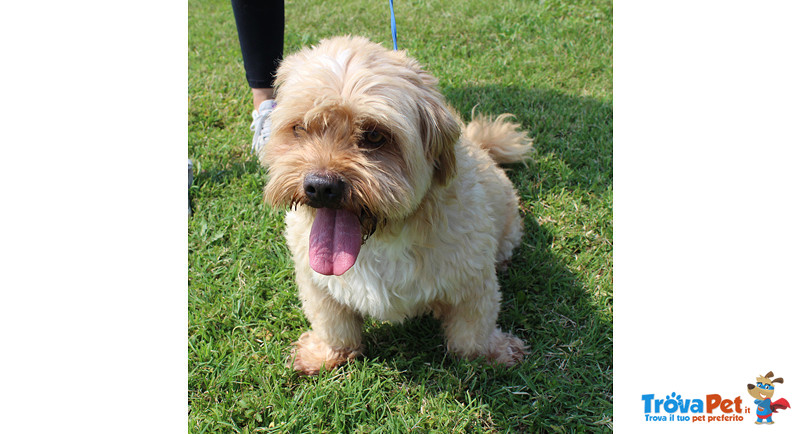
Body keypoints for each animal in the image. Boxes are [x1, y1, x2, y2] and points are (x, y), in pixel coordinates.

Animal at [262, 36, 536, 376]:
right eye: (300, 128)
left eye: (374, 135)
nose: (321, 186)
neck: (383, 235)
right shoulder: (315, 282)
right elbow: (331, 322)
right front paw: (327, 354)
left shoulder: (472, 280)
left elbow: (473, 329)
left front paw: (489, 353)